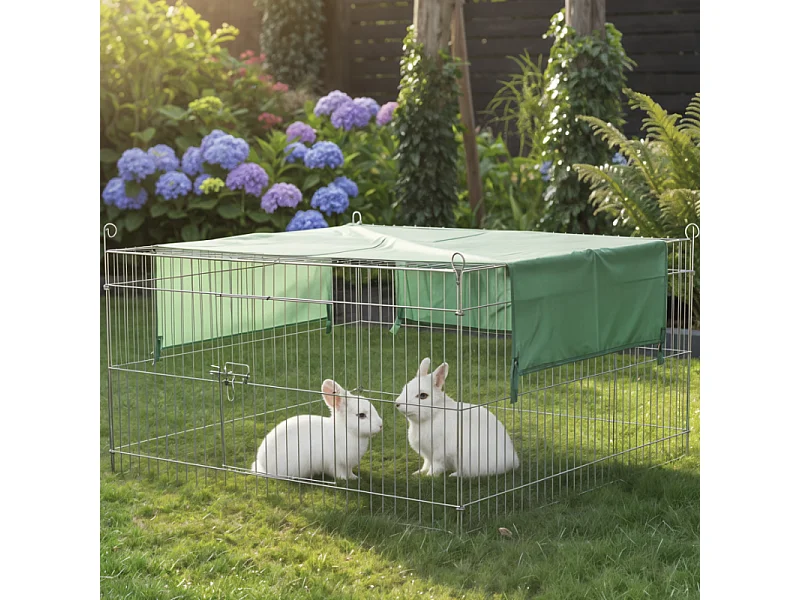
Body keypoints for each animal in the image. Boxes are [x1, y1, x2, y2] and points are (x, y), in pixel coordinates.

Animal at [251, 379, 383, 480]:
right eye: (361, 415)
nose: (381, 425)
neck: (346, 430)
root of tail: (261, 465)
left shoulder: (348, 464)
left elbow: (350, 472)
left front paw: (355, 478)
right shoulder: (336, 463)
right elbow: (339, 473)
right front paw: (345, 480)